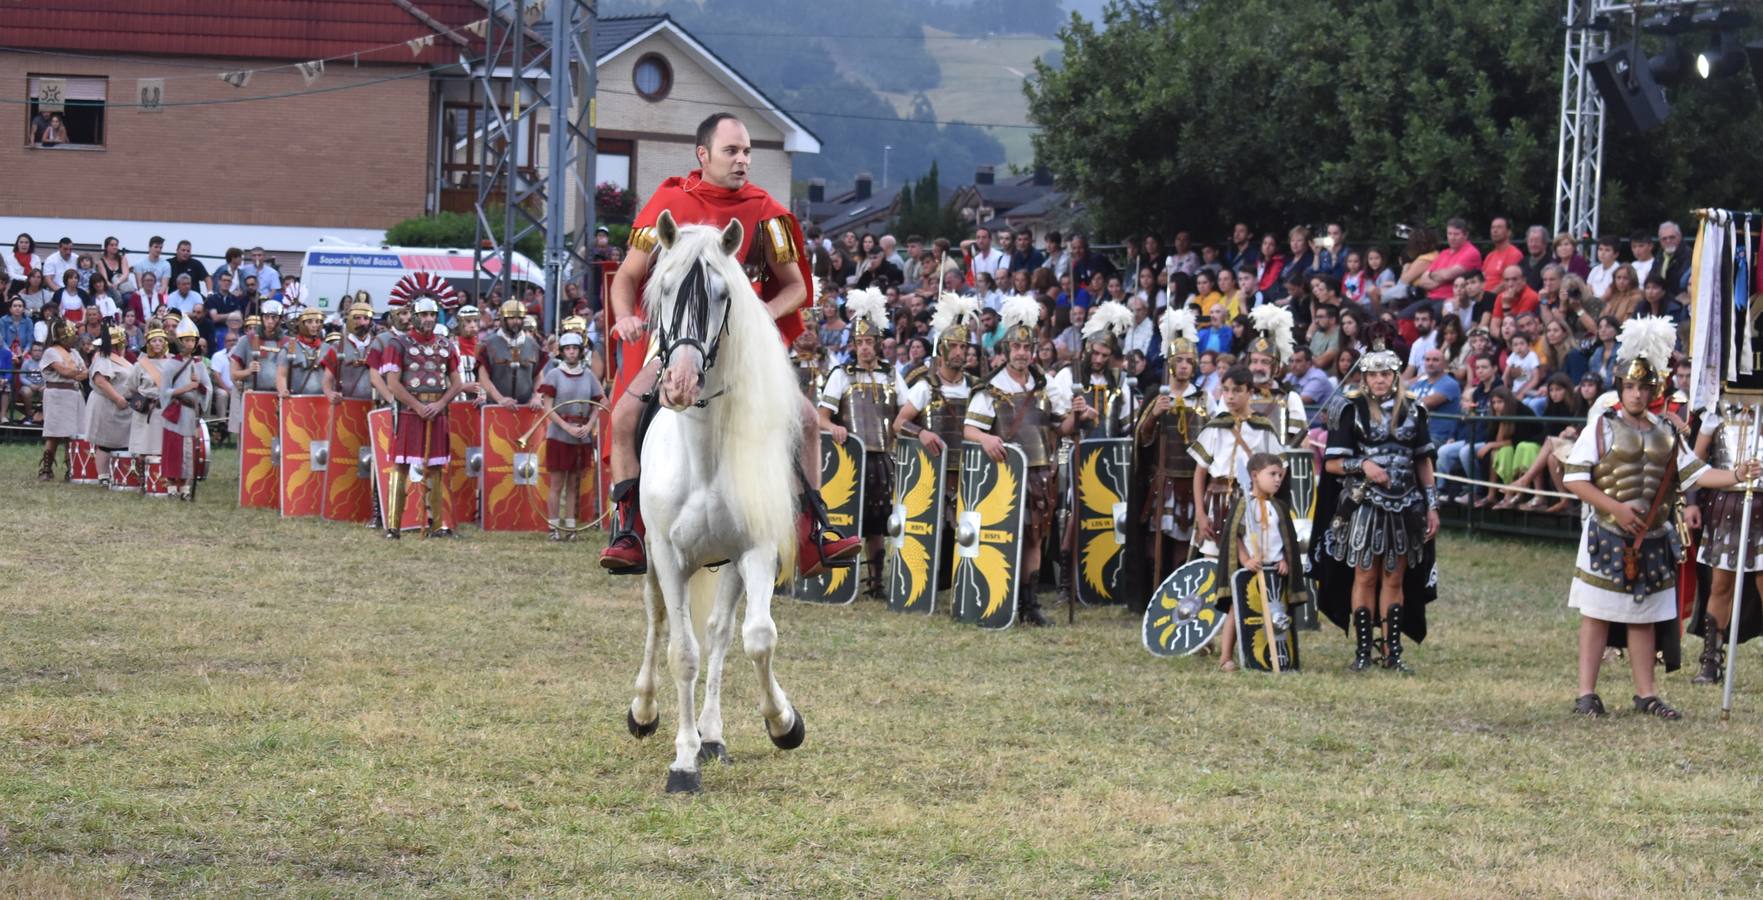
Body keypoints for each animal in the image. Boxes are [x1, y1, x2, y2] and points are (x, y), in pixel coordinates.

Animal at [627, 212, 807, 794]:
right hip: (654, 562)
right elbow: (681, 653)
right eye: (663, 288)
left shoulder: (754, 550)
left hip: (726, 564)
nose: (681, 383)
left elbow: (755, 638)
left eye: (724, 294)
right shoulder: (668, 556)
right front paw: (682, 763)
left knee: (720, 635)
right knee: (659, 622)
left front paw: (783, 723)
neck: (703, 459)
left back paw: (712, 736)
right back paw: (644, 711)